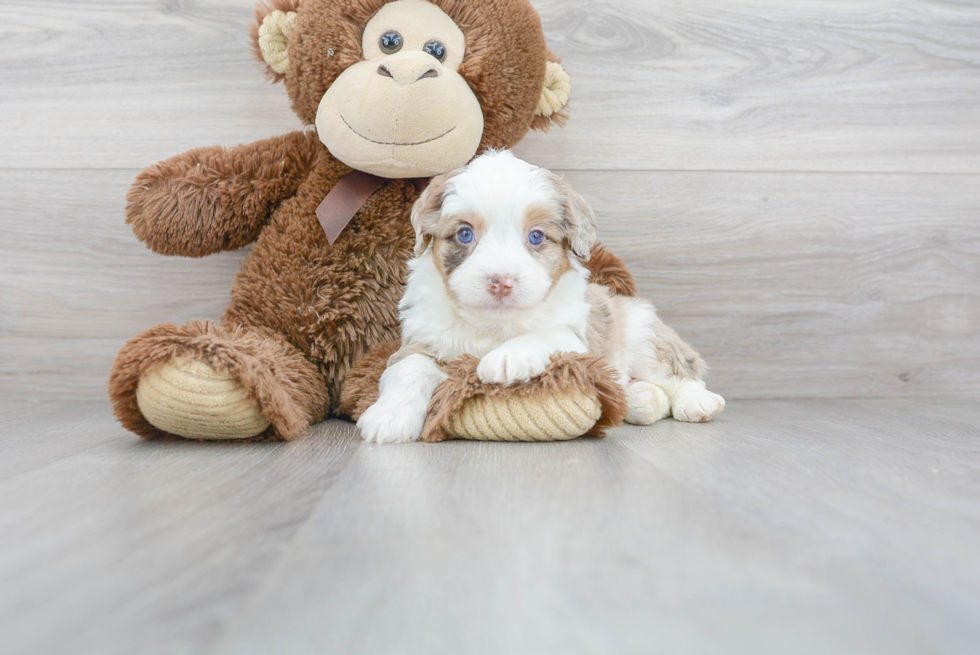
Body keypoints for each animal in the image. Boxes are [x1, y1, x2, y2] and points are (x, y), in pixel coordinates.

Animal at [356, 151, 724, 444]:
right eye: (464, 234)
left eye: (536, 237)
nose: (500, 282)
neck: (493, 325)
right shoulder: (418, 341)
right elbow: (410, 368)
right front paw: (389, 417)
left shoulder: (579, 344)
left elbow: (546, 335)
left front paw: (507, 358)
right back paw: (640, 400)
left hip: (643, 335)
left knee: (681, 372)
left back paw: (697, 403)